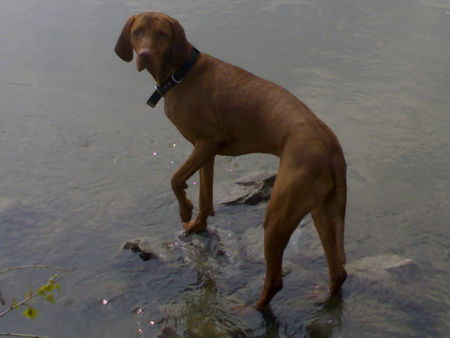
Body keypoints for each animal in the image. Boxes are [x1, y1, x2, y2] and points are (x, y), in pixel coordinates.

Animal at [114, 12, 346, 308]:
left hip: (278, 214)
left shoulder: (208, 142)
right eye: (138, 32)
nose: (144, 54)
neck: (181, 73)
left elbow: (176, 179)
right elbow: (206, 194)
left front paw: (185, 210)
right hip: (325, 211)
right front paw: (198, 224)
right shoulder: (206, 151)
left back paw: (252, 308)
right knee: (338, 271)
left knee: (275, 280)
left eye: (162, 34)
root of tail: (331, 147)